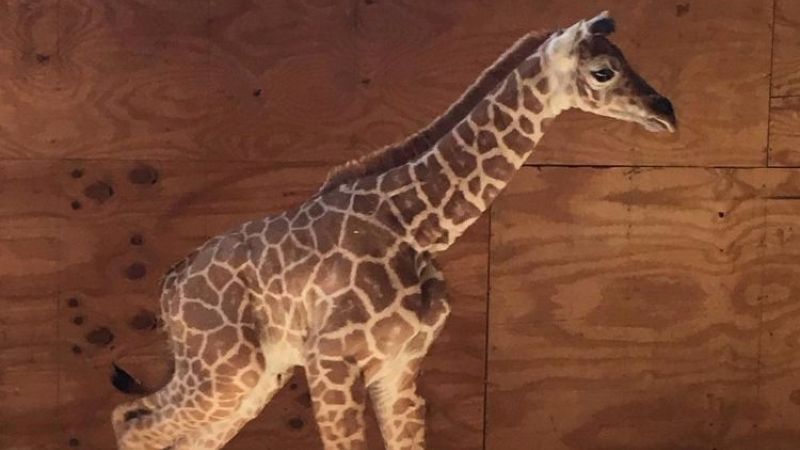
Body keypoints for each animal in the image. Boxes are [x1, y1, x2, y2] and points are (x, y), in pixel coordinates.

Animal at [112, 11, 676, 450]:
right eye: (603, 71)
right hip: (228, 369)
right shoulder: (330, 357)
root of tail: (170, 286)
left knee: (143, 421)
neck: (417, 225)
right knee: (135, 428)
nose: (665, 112)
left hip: (244, 379)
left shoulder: (398, 367)